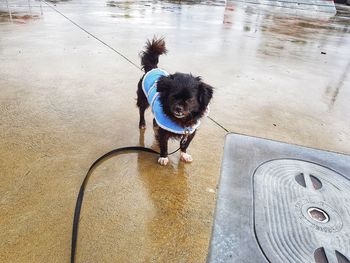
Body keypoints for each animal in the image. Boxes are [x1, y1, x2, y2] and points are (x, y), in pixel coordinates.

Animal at [137, 38, 213, 166]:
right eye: (173, 97)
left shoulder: (190, 132)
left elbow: (185, 145)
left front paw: (184, 155)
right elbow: (164, 145)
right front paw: (163, 157)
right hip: (143, 100)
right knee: (141, 111)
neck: (182, 121)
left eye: (190, 99)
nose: (178, 108)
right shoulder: (164, 133)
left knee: (154, 119)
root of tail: (152, 68)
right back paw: (142, 124)